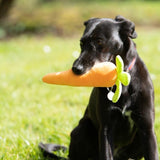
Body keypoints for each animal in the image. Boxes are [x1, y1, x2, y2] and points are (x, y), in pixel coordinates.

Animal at [39, 15, 159, 159]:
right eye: (81, 43)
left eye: (99, 41)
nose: (76, 69)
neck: (120, 80)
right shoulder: (106, 128)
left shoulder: (147, 127)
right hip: (82, 129)